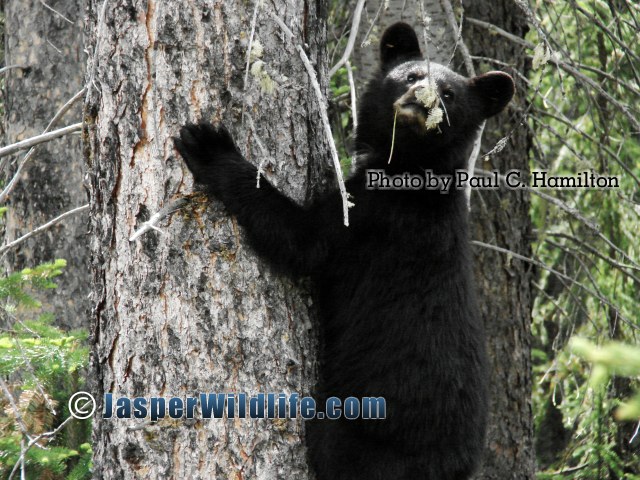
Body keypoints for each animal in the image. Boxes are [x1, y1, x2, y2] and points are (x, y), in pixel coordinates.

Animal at [174, 22, 514, 480]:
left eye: (449, 94)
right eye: (411, 75)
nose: (421, 97)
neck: (411, 170)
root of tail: (452, 467)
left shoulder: (372, 217)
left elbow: (303, 241)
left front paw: (211, 147)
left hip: (364, 432)